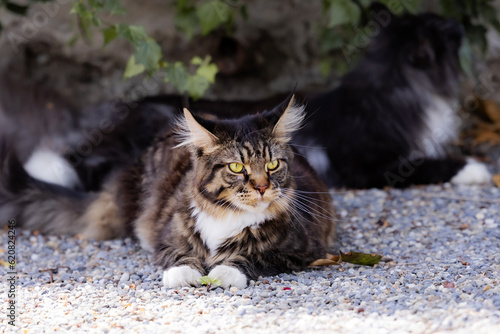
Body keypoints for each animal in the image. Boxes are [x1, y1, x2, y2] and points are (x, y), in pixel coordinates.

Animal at [0, 95, 336, 288]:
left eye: (273, 165)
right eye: (237, 167)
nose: (263, 187)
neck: (227, 215)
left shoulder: (303, 251)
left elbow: (254, 258)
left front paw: (225, 272)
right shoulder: (165, 236)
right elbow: (178, 255)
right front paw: (184, 274)